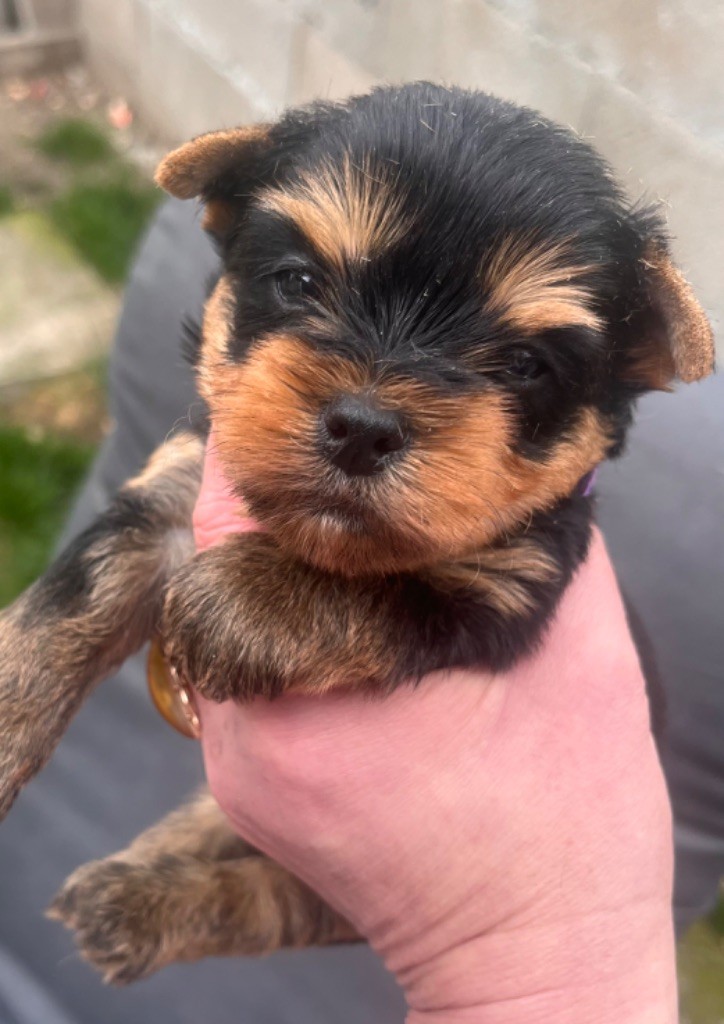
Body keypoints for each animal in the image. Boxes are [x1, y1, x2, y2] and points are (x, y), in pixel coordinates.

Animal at [0, 82, 714, 983]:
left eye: (526, 366)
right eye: (299, 282)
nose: (364, 428)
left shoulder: (504, 583)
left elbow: (379, 587)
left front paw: (249, 596)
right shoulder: (178, 482)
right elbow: (70, 598)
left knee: (267, 900)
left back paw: (138, 907)